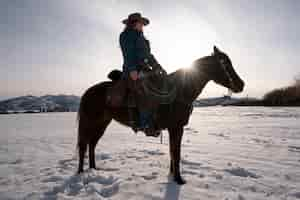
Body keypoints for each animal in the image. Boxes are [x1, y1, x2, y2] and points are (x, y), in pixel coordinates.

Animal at [76, 45, 245, 184]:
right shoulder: (176, 128)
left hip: (102, 123)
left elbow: (172, 151)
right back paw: (80, 173)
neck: (180, 90)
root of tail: (88, 92)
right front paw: (179, 179)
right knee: (84, 146)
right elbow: (176, 153)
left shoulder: (174, 129)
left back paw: (93, 169)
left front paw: (172, 175)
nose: (241, 84)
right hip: (90, 122)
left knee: (92, 144)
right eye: (225, 63)